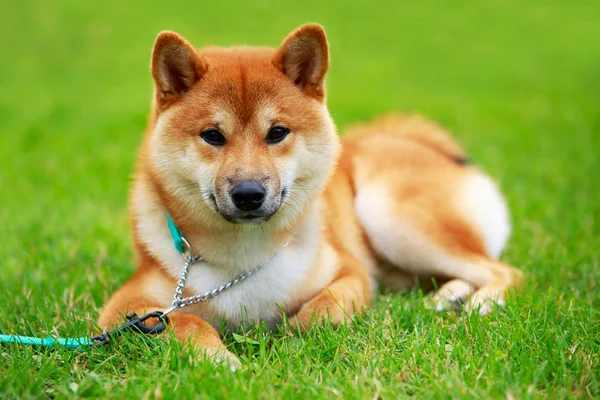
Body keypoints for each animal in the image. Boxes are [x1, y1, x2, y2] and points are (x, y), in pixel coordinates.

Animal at [97, 21, 520, 366]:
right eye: (212, 135)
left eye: (277, 132)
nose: (248, 193)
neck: (244, 255)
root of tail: (423, 142)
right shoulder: (125, 310)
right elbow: (184, 322)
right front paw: (220, 359)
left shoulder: (352, 272)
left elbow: (321, 309)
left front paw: (290, 340)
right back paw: (445, 298)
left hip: (390, 217)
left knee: (504, 270)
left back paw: (481, 303)